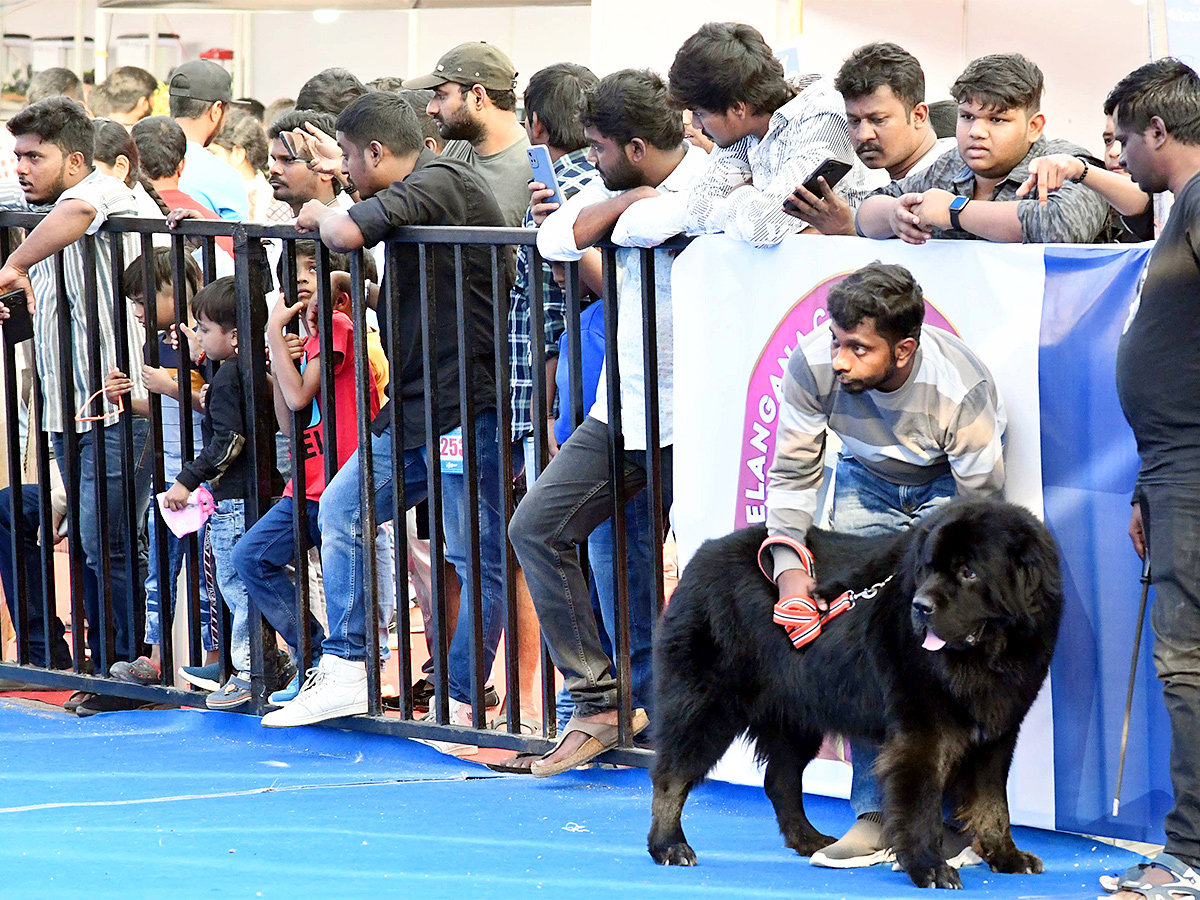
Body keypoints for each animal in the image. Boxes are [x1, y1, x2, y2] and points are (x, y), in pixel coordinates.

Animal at [652, 504, 1065, 892]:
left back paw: (809, 840)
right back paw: (668, 845)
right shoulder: (922, 733)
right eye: (929, 569)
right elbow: (922, 803)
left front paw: (1008, 856)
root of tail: (702, 554)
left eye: (969, 573)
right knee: (672, 773)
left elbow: (994, 803)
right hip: (707, 706)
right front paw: (929, 867)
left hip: (797, 716)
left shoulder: (999, 730)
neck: (987, 657)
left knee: (780, 780)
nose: (920, 607)